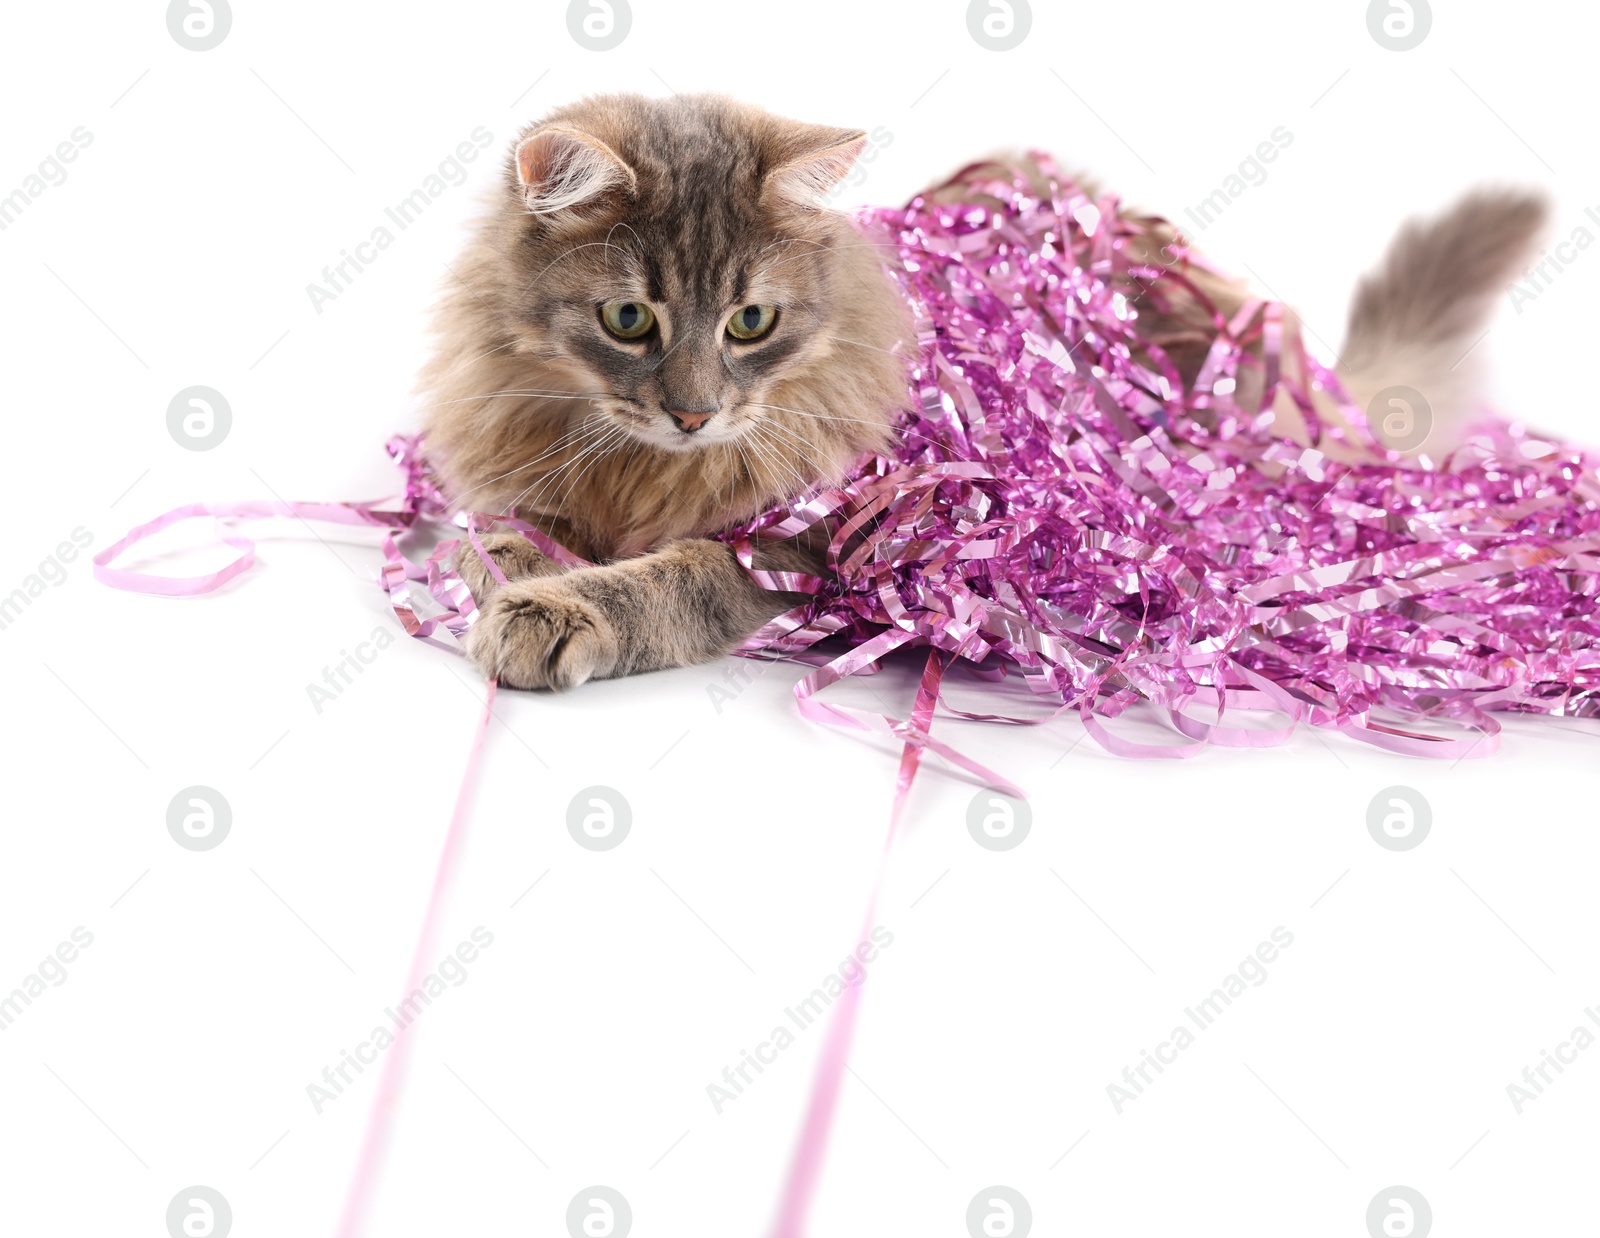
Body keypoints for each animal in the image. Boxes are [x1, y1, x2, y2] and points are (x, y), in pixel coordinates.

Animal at [419, 91, 1542, 694]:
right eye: (628, 320)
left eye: (750, 324)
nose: (694, 413)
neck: (643, 469)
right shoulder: (507, 464)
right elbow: (492, 533)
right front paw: (528, 574)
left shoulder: (805, 548)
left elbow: (671, 577)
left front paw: (559, 610)